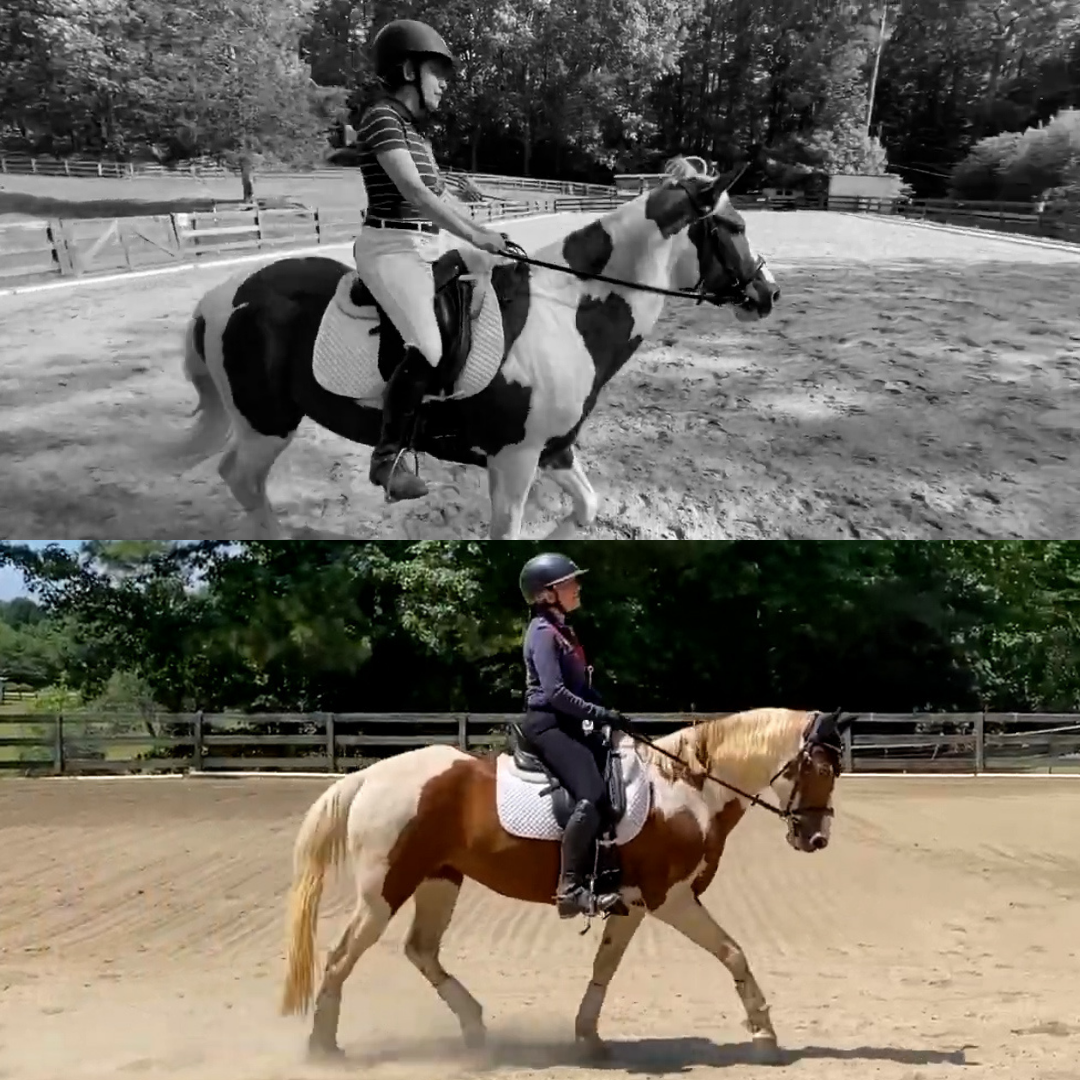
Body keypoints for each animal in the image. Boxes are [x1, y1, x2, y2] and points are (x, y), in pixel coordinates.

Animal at [162, 156, 780, 540]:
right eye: (734, 226)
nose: (768, 293)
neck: (567, 315)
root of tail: (222, 296)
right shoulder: (515, 459)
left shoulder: (553, 449)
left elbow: (587, 507)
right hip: (267, 423)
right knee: (241, 477)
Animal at [279, 707, 854, 1062]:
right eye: (822, 768)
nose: (816, 837)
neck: (686, 790)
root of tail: (371, 776)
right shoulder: (671, 899)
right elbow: (734, 953)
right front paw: (764, 1035)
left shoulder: (632, 904)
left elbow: (604, 967)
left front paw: (588, 1036)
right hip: (384, 890)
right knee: (341, 957)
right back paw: (323, 1048)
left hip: (439, 880)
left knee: (420, 951)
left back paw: (475, 1029)